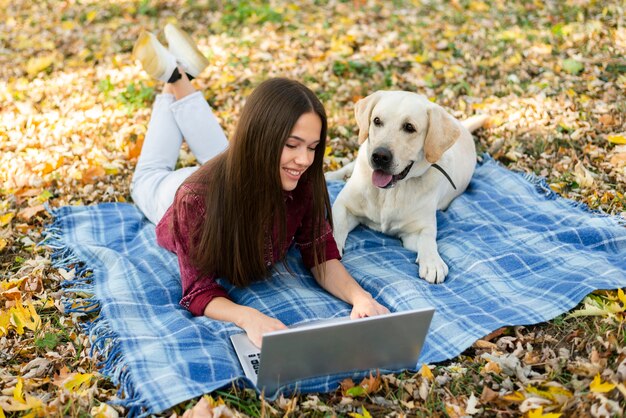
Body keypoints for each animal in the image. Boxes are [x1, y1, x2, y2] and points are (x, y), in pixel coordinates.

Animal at [326, 90, 488, 284]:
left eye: (409, 127)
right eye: (377, 121)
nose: (379, 156)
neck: (390, 192)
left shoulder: (418, 229)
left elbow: (428, 238)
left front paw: (433, 262)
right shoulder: (344, 206)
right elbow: (336, 226)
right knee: (347, 168)